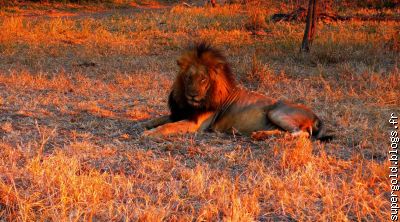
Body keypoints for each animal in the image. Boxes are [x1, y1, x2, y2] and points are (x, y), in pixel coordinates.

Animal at [142, 43, 332, 140]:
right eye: (189, 77)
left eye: (203, 79)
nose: (192, 95)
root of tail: (316, 116)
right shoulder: (181, 113)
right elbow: (163, 118)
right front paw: (147, 123)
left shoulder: (195, 123)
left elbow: (169, 126)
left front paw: (149, 133)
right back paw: (260, 134)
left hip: (276, 112)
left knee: (302, 134)